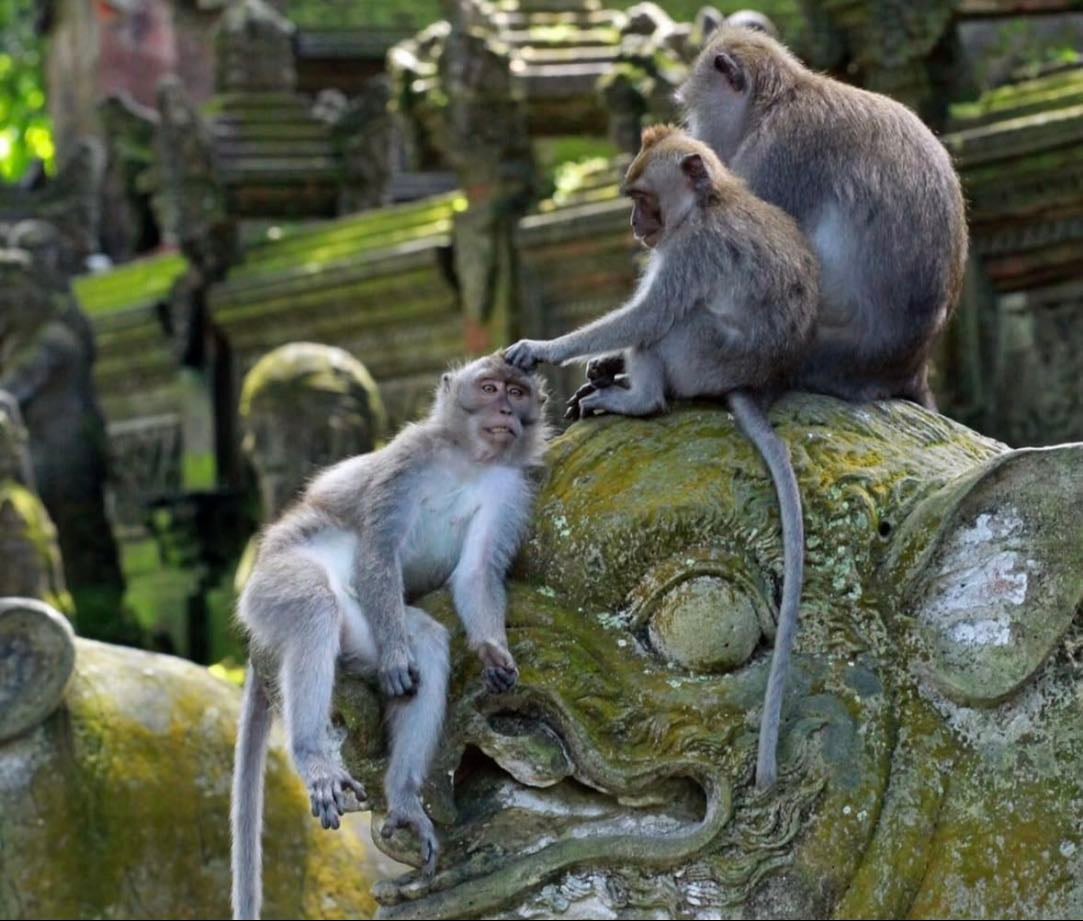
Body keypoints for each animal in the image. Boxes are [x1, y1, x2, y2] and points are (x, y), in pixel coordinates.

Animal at [230, 354, 548, 920]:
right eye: (489, 388)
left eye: (518, 391)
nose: (506, 411)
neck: (469, 460)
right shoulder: (409, 458)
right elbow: (379, 548)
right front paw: (401, 658)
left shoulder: (511, 489)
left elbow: (476, 573)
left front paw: (493, 652)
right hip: (274, 585)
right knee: (314, 605)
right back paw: (314, 757)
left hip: (364, 625)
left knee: (428, 641)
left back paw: (402, 797)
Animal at [505, 125, 818, 789]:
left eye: (644, 197)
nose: (634, 223)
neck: (708, 204)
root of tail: (752, 383)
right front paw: (597, 364)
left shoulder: (689, 251)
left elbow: (647, 314)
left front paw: (545, 349)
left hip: (701, 355)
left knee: (668, 324)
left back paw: (638, 398)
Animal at [679, 25, 968, 410]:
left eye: (694, 111)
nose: (696, 137)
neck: (775, 102)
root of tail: (911, 369)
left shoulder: (778, 154)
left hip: (819, 353)